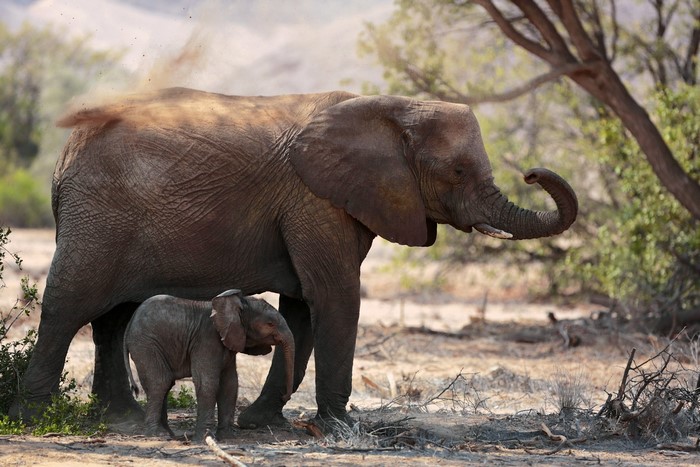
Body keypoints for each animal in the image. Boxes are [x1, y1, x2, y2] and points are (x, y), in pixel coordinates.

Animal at [123, 289, 294, 441]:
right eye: (270, 324)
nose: (285, 395)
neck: (237, 304)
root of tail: (130, 322)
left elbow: (230, 384)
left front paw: (228, 438)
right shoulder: (207, 339)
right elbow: (207, 383)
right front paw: (205, 438)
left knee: (165, 383)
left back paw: (168, 434)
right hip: (146, 344)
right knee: (160, 382)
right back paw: (157, 435)